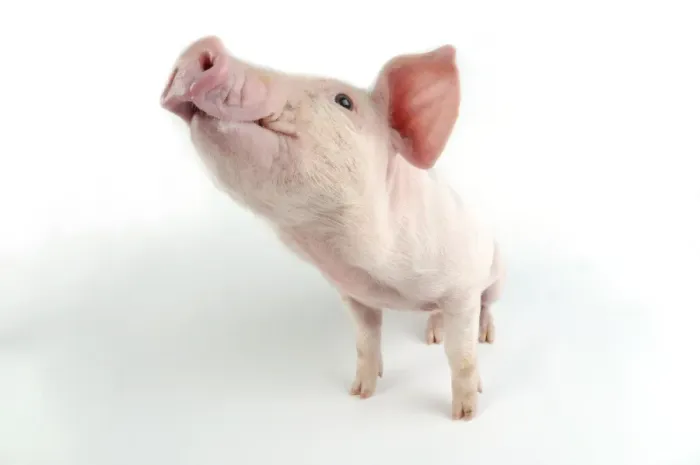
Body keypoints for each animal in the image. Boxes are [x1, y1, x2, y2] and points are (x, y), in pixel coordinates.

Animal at [160, 35, 503, 420]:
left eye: (344, 101)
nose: (203, 44)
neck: (375, 275)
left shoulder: (461, 288)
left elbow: (461, 356)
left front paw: (464, 415)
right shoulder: (353, 295)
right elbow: (365, 340)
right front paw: (360, 394)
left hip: (496, 274)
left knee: (487, 306)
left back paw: (484, 336)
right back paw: (432, 334)